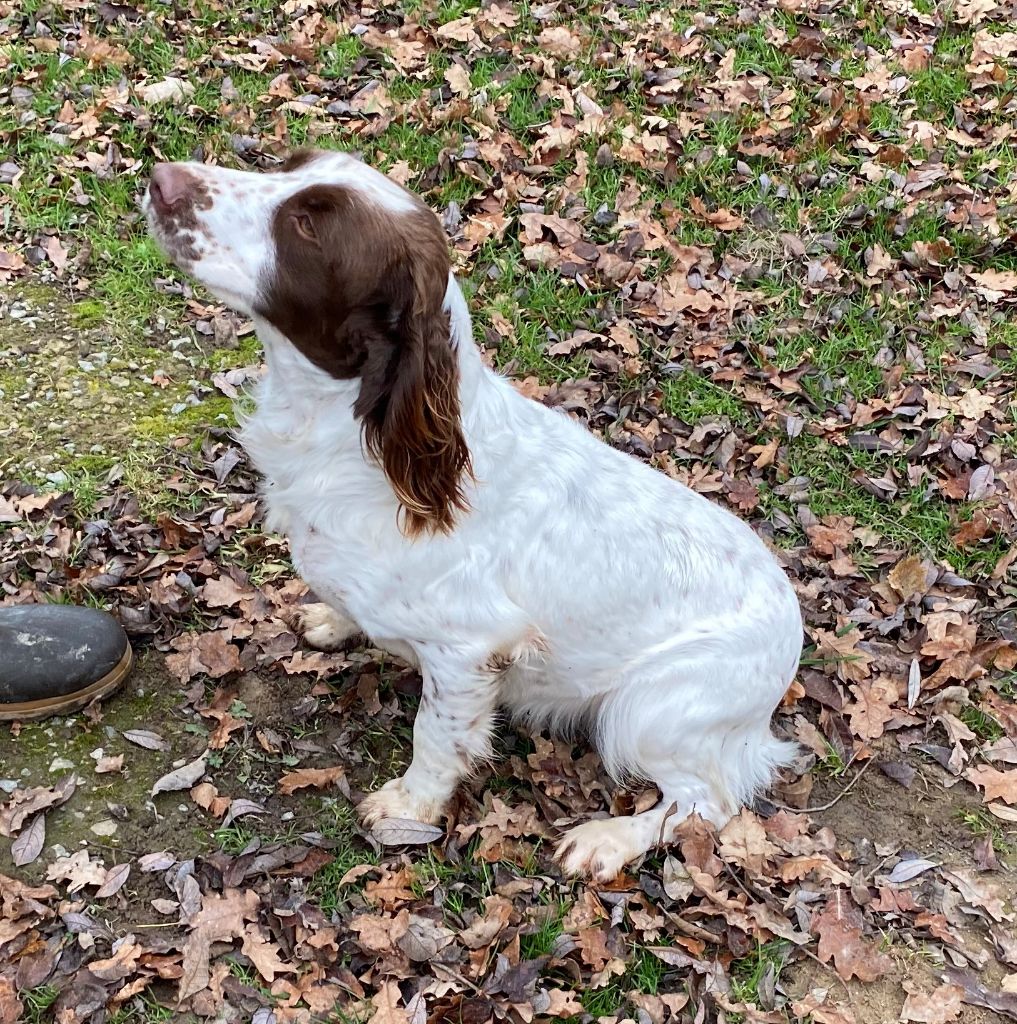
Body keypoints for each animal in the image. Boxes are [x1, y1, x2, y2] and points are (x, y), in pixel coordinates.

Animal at [144, 149, 802, 880]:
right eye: (289, 167)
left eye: (310, 225)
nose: (161, 179)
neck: (364, 438)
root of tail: (791, 635)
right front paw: (331, 621)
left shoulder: (469, 651)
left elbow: (435, 736)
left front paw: (406, 806)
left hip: (649, 710)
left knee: (705, 803)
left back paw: (605, 840)